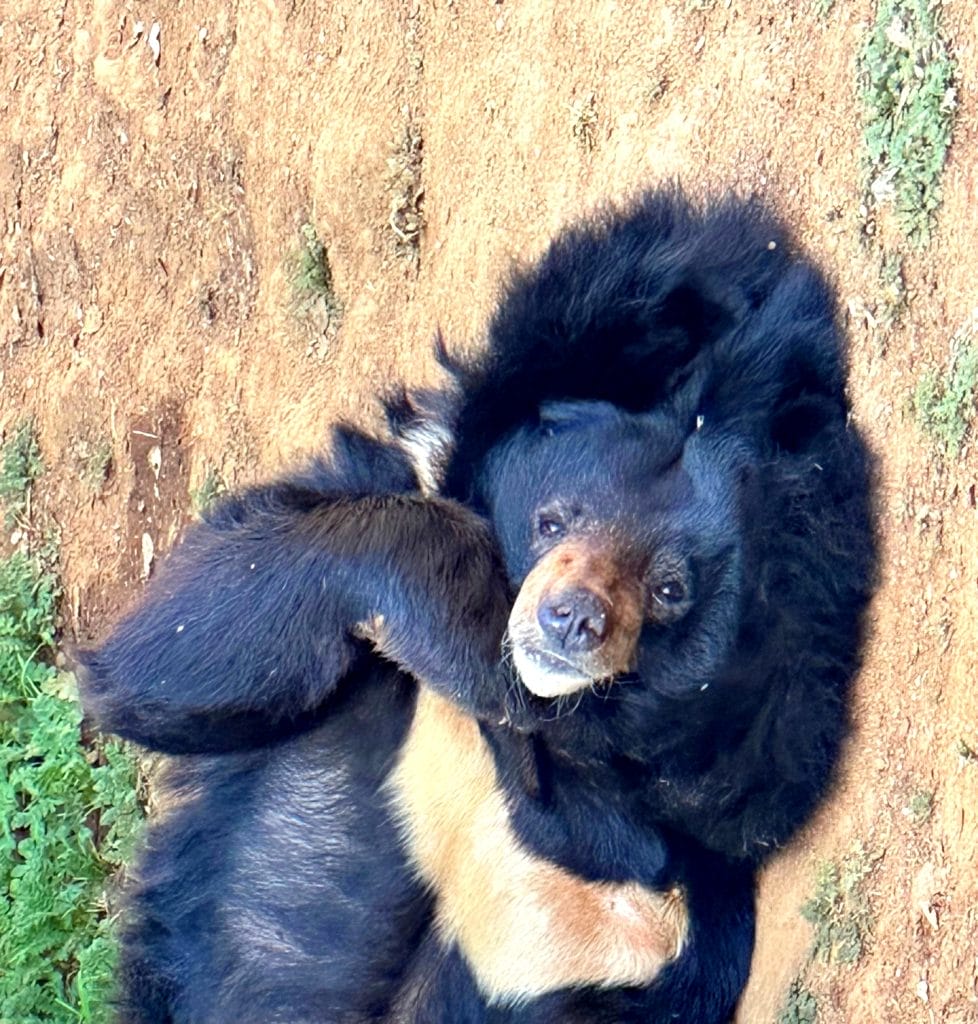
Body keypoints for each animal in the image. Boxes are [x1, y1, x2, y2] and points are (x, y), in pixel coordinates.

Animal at [80, 188, 875, 1024]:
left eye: (670, 589)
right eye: (553, 519)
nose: (572, 618)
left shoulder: (681, 887)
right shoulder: (403, 480)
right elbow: (169, 648)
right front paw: (476, 653)